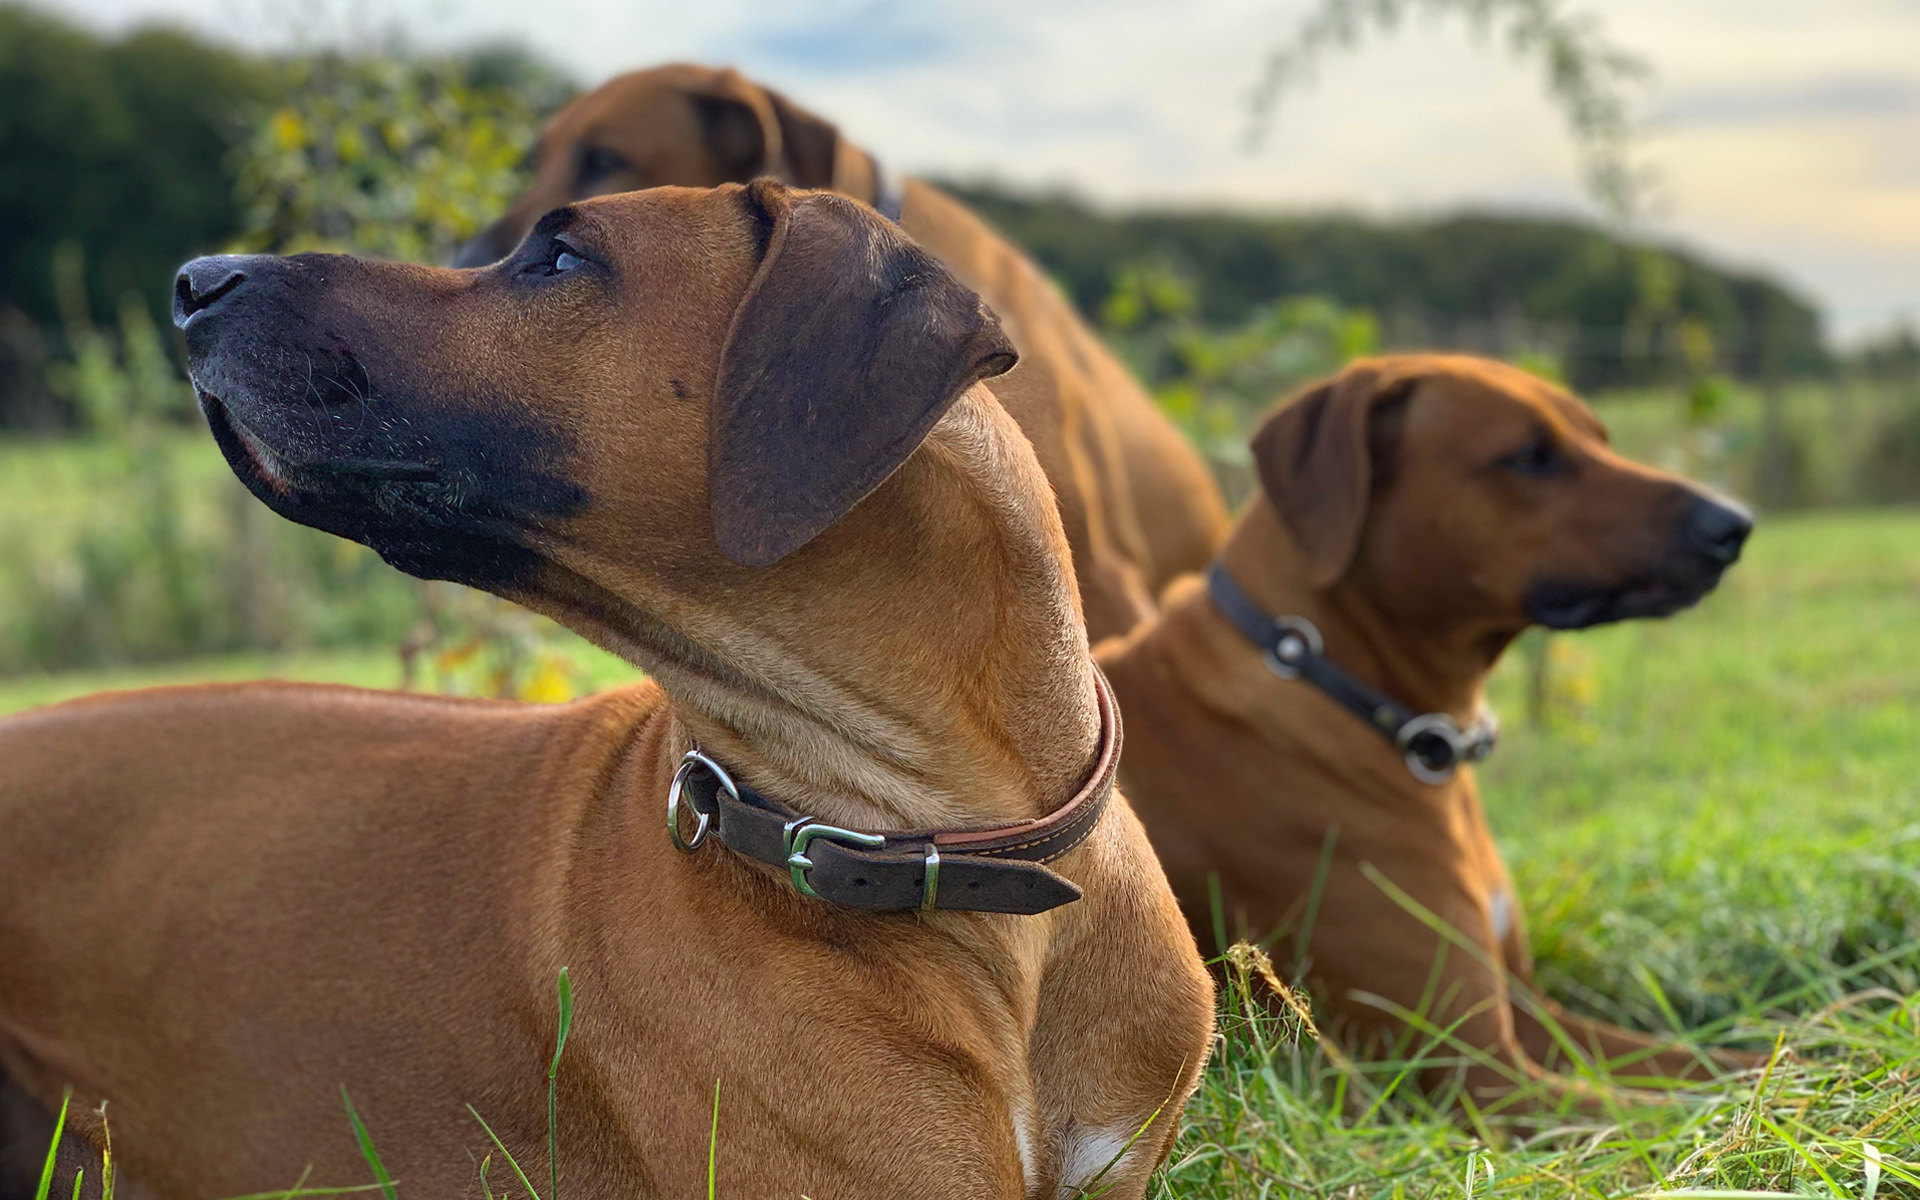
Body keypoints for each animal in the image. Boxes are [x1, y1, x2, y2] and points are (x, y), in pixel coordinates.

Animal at [1097, 355, 1760, 1115]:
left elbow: (1743, 1064)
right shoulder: (1485, 1073)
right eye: (1531, 456)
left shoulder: (1535, 1018)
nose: (1734, 524)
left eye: (1600, 438)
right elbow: (1714, 1104)